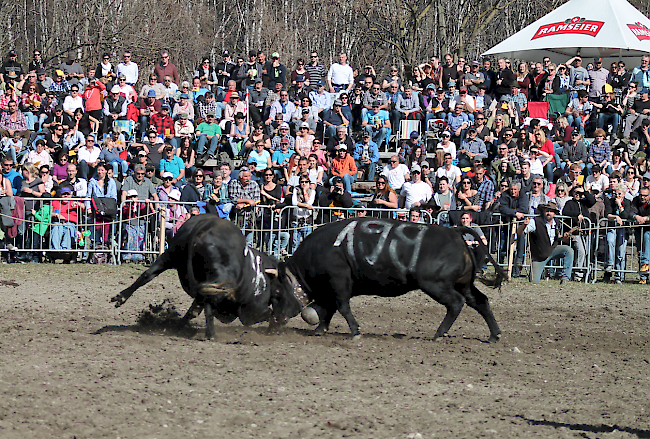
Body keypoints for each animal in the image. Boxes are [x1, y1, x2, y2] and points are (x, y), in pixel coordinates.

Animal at [109, 215, 306, 338]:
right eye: (283, 293)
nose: (284, 319)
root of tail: (203, 226)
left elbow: (194, 310)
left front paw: (178, 326)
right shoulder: (252, 311)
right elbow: (264, 313)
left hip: (170, 255)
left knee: (147, 275)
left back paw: (121, 297)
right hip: (216, 277)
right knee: (210, 298)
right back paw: (210, 334)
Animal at [280, 218, 504, 342]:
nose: (275, 322)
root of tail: (454, 231)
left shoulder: (338, 280)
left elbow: (342, 307)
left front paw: (355, 331)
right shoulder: (333, 289)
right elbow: (328, 310)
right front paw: (320, 329)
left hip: (435, 284)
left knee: (456, 303)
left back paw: (439, 333)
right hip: (464, 284)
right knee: (480, 301)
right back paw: (494, 335)